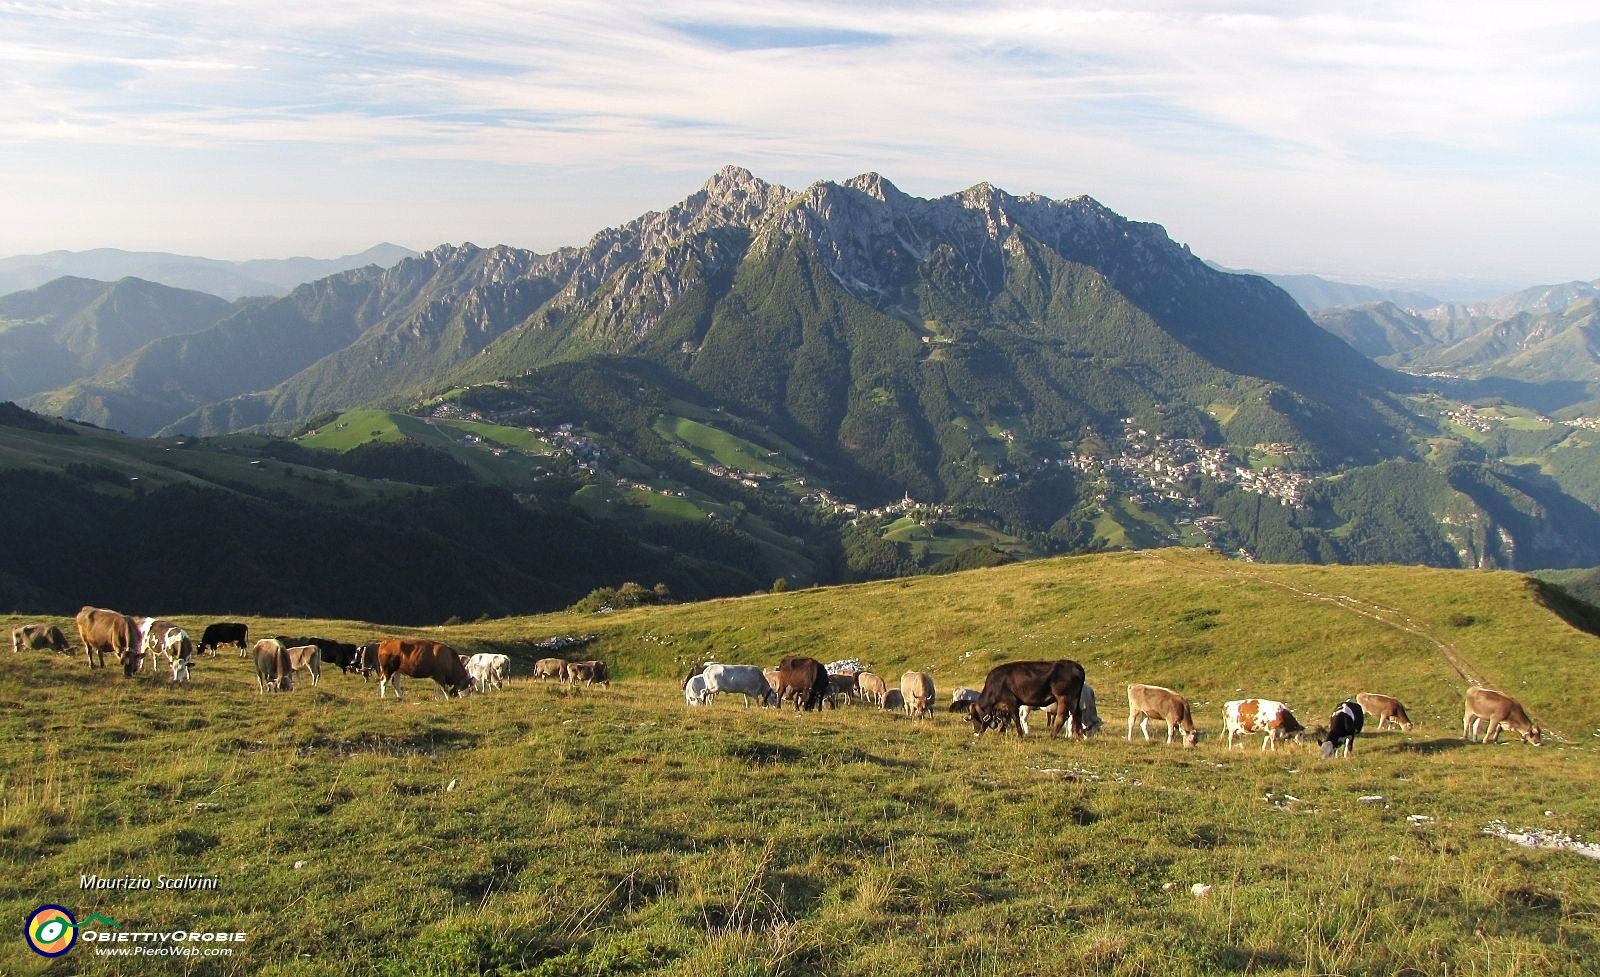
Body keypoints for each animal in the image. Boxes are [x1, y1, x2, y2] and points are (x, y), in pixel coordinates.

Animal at [947, 661, 1088, 738]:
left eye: (976, 718)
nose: (976, 732)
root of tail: (1078, 667)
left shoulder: (1012, 702)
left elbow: (1015, 718)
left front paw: (1020, 735)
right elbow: (1006, 719)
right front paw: (1002, 731)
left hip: (1064, 697)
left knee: (1063, 716)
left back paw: (1052, 735)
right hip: (1074, 699)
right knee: (1077, 714)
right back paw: (1079, 736)